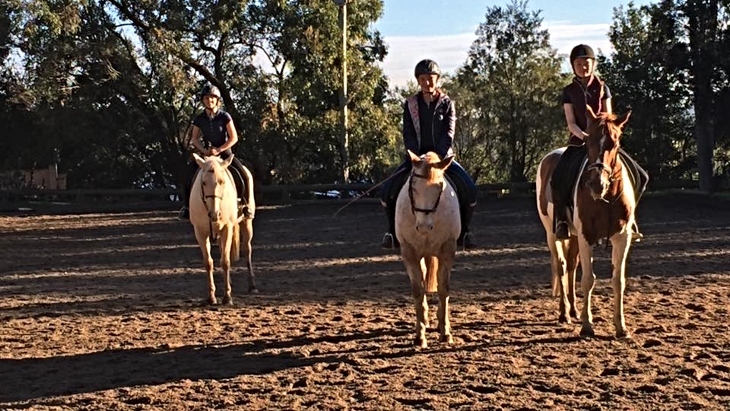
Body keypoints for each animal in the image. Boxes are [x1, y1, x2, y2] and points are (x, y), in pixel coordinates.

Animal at [188, 153, 256, 304]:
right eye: (203, 183)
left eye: (222, 182)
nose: (215, 214)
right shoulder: (200, 233)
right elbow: (208, 263)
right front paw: (211, 297)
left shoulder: (227, 228)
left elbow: (225, 261)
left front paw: (227, 297)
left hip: (247, 223)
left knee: (247, 250)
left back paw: (252, 286)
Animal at [396, 150, 458, 350]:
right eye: (413, 187)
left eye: (439, 187)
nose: (424, 227)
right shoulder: (409, 253)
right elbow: (418, 290)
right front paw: (419, 336)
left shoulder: (447, 250)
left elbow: (443, 289)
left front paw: (445, 333)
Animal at [532, 108, 636, 340]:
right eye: (589, 142)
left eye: (615, 143)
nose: (597, 184)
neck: (607, 198)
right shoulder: (586, 235)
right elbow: (588, 279)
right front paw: (587, 326)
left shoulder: (621, 237)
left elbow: (618, 280)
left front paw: (621, 327)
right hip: (553, 233)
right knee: (561, 266)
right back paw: (564, 313)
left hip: (573, 236)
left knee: (571, 265)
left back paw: (573, 310)